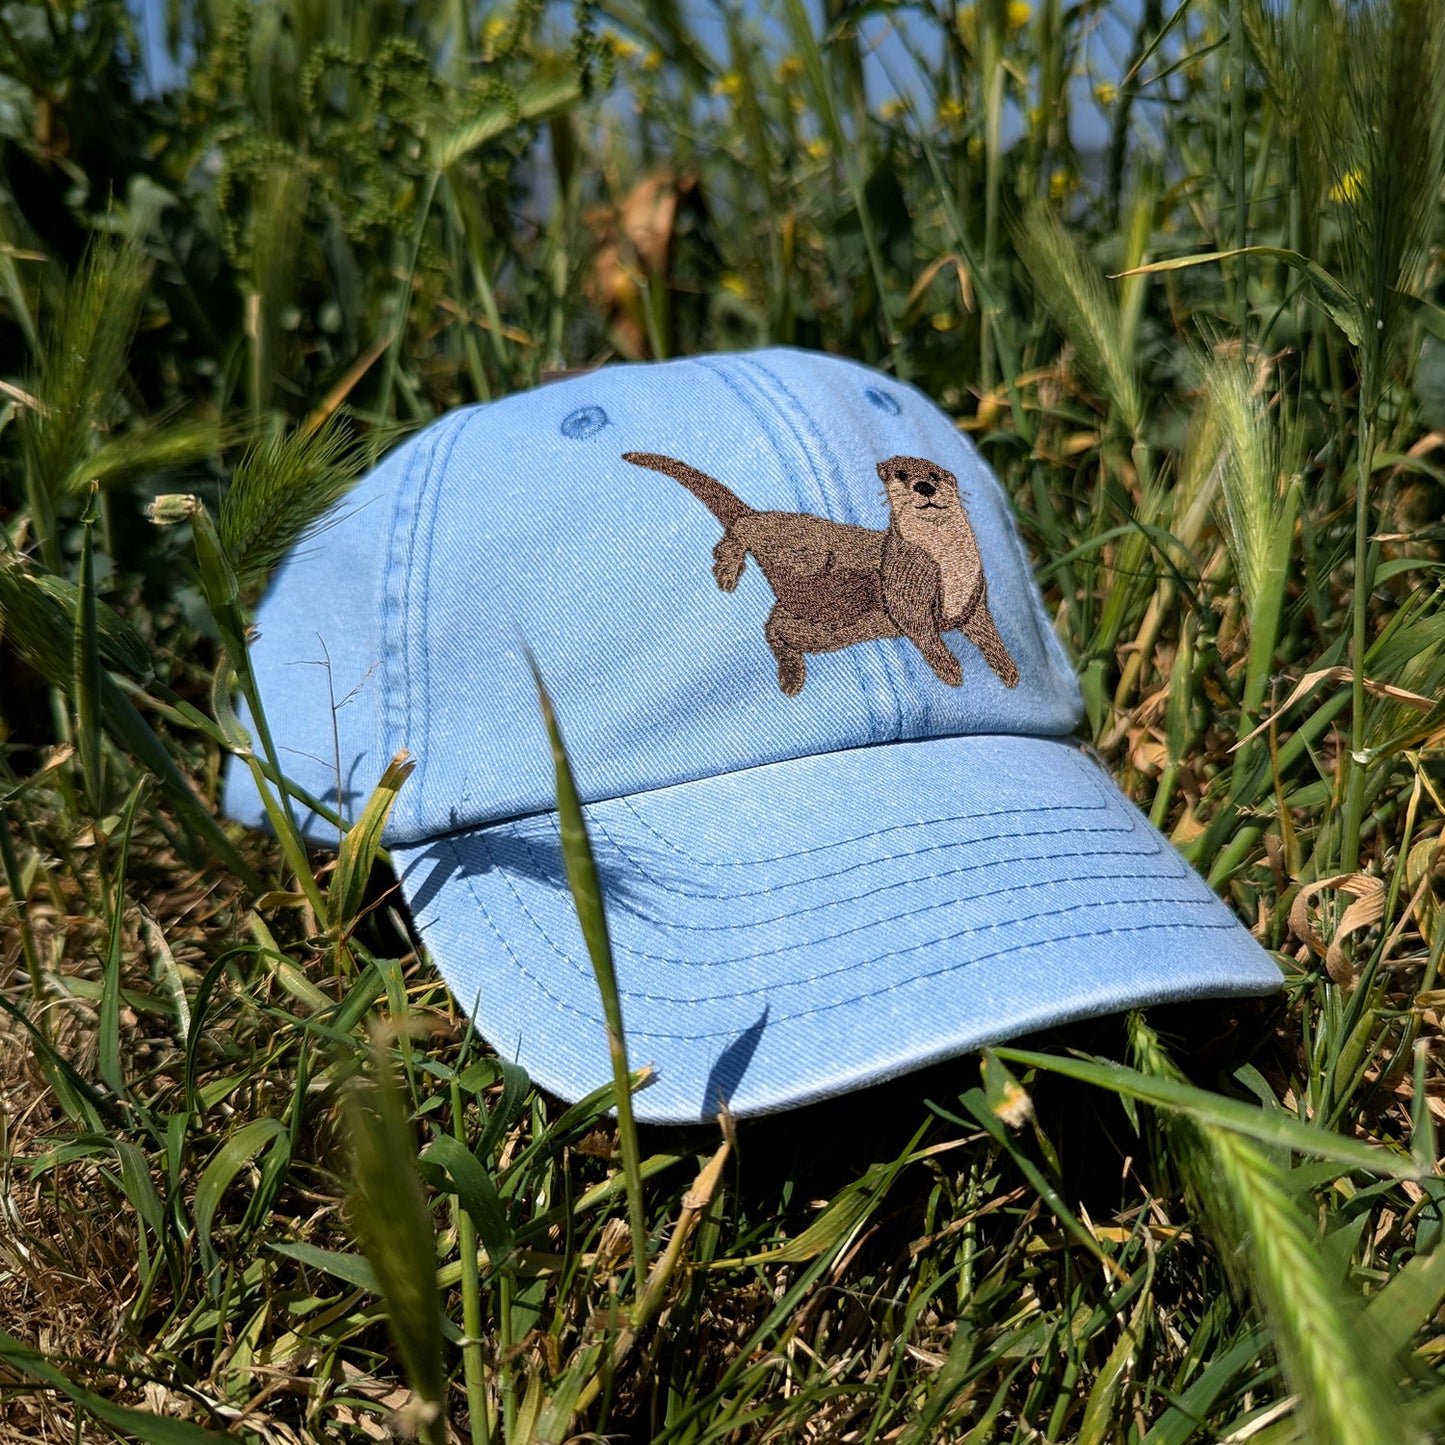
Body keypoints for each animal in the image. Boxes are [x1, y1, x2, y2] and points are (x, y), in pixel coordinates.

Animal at [622, 451, 1020, 696]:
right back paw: (728, 570)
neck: (948, 562)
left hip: (822, 628)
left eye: (936, 474)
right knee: (745, 528)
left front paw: (1009, 672)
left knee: (775, 626)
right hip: (800, 549)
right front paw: (950, 670)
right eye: (902, 474)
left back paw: (790, 674)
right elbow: (922, 631)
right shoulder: (906, 583)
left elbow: (988, 634)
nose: (925, 486)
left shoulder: (974, 598)